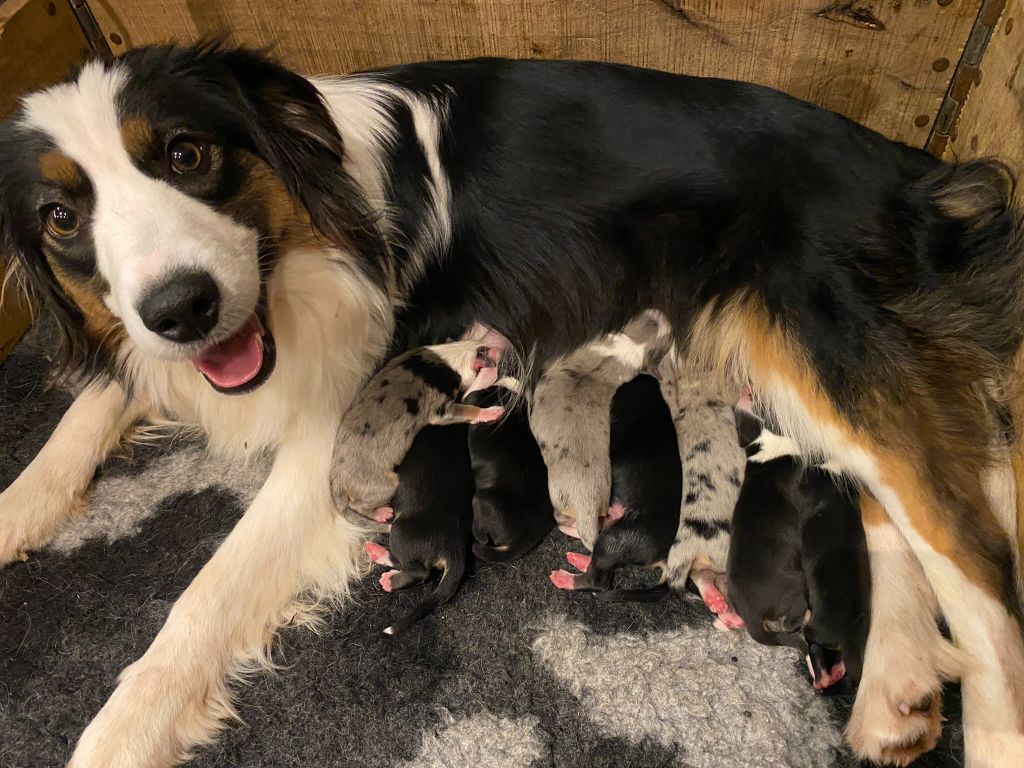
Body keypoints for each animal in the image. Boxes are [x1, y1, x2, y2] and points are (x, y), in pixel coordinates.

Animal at [331, 342, 503, 528]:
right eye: (488, 354)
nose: (501, 347)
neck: (454, 356)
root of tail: (336, 480)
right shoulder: (440, 409)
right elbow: (468, 409)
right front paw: (493, 412)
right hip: (385, 485)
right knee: (358, 505)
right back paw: (382, 513)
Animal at [548, 374, 684, 602]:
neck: (652, 406)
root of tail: (666, 557)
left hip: (615, 539)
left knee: (599, 580)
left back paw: (565, 578)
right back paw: (579, 557)